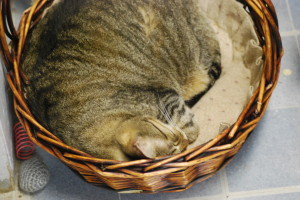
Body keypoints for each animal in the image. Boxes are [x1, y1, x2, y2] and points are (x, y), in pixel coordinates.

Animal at [21, 0, 220, 161]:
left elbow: (190, 127)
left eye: (167, 131)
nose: (184, 143)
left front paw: (191, 131)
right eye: (174, 147)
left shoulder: (163, 96)